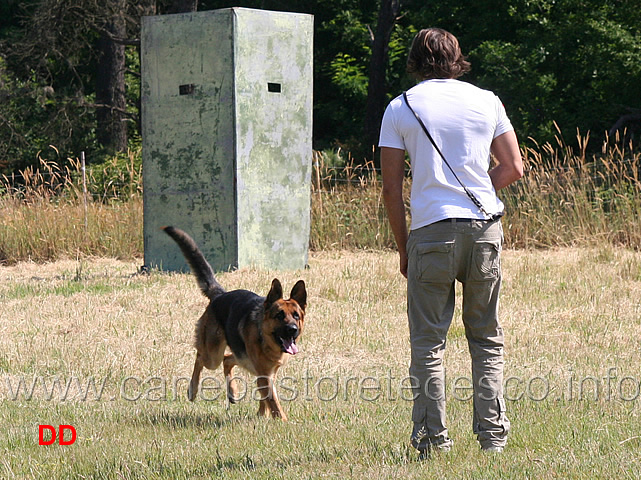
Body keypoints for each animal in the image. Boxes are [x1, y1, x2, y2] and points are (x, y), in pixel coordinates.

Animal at [164, 227, 306, 418]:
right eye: (279, 315)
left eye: (296, 316)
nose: (292, 329)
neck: (265, 338)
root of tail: (220, 295)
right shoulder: (264, 375)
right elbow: (273, 401)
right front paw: (281, 420)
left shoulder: (268, 373)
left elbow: (266, 397)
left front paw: (262, 415)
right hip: (213, 356)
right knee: (201, 357)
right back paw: (192, 390)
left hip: (240, 357)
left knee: (227, 360)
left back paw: (232, 391)